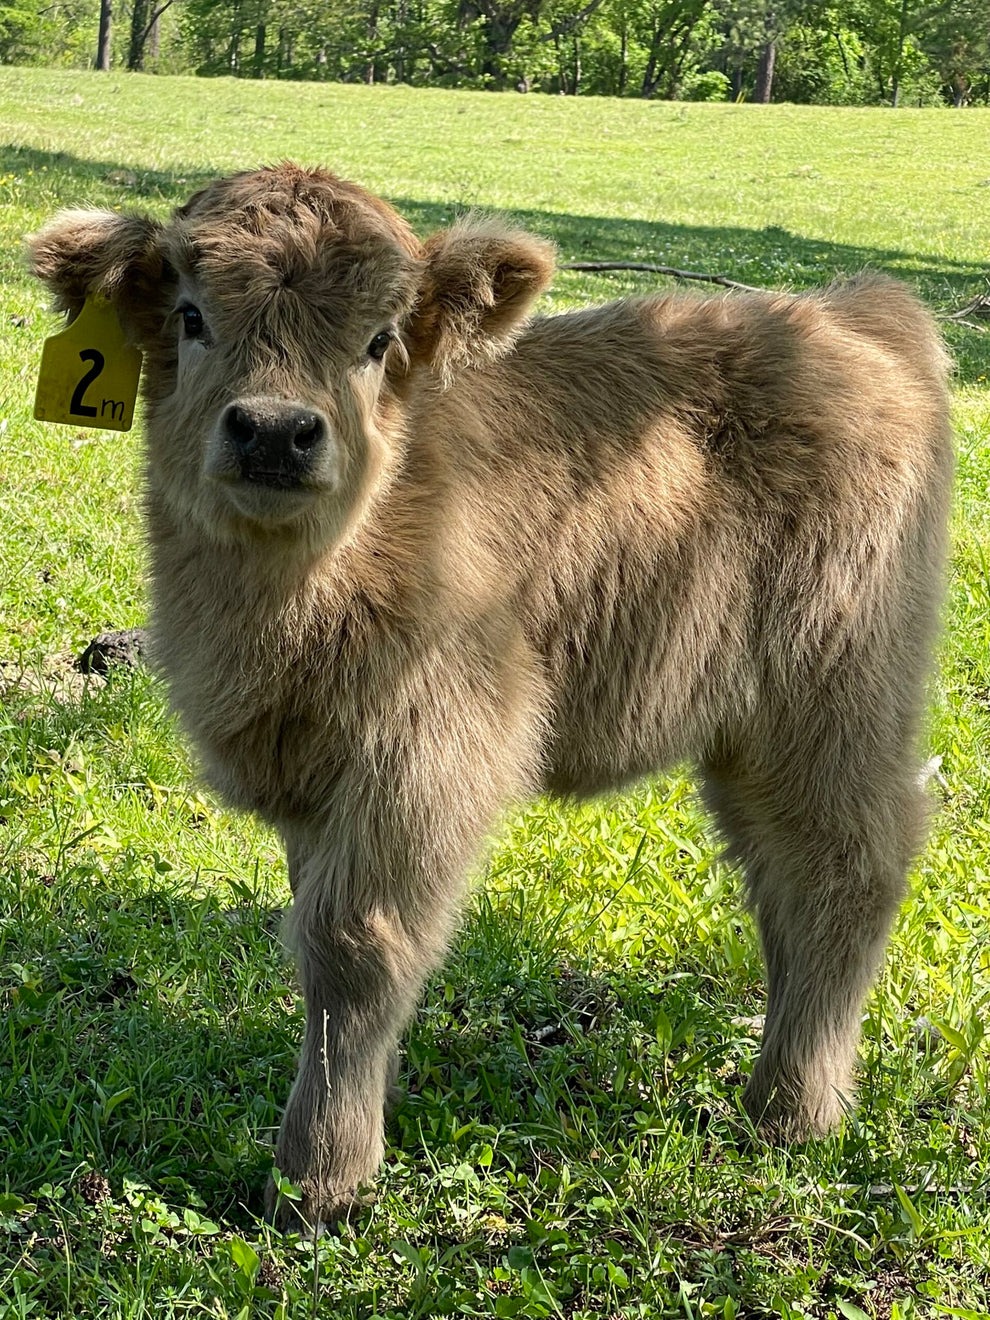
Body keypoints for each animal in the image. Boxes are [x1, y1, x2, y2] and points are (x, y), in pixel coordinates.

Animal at [33, 165, 955, 1224]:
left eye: (379, 338)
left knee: (844, 867)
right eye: (191, 315)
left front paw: (319, 1178)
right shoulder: (314, 778)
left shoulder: (428, 753)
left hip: (833, 695)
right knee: (782, 879)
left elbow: (354, 941)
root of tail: (850, 314)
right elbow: (315, 936)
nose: (274, 431)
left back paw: (790, 1110)